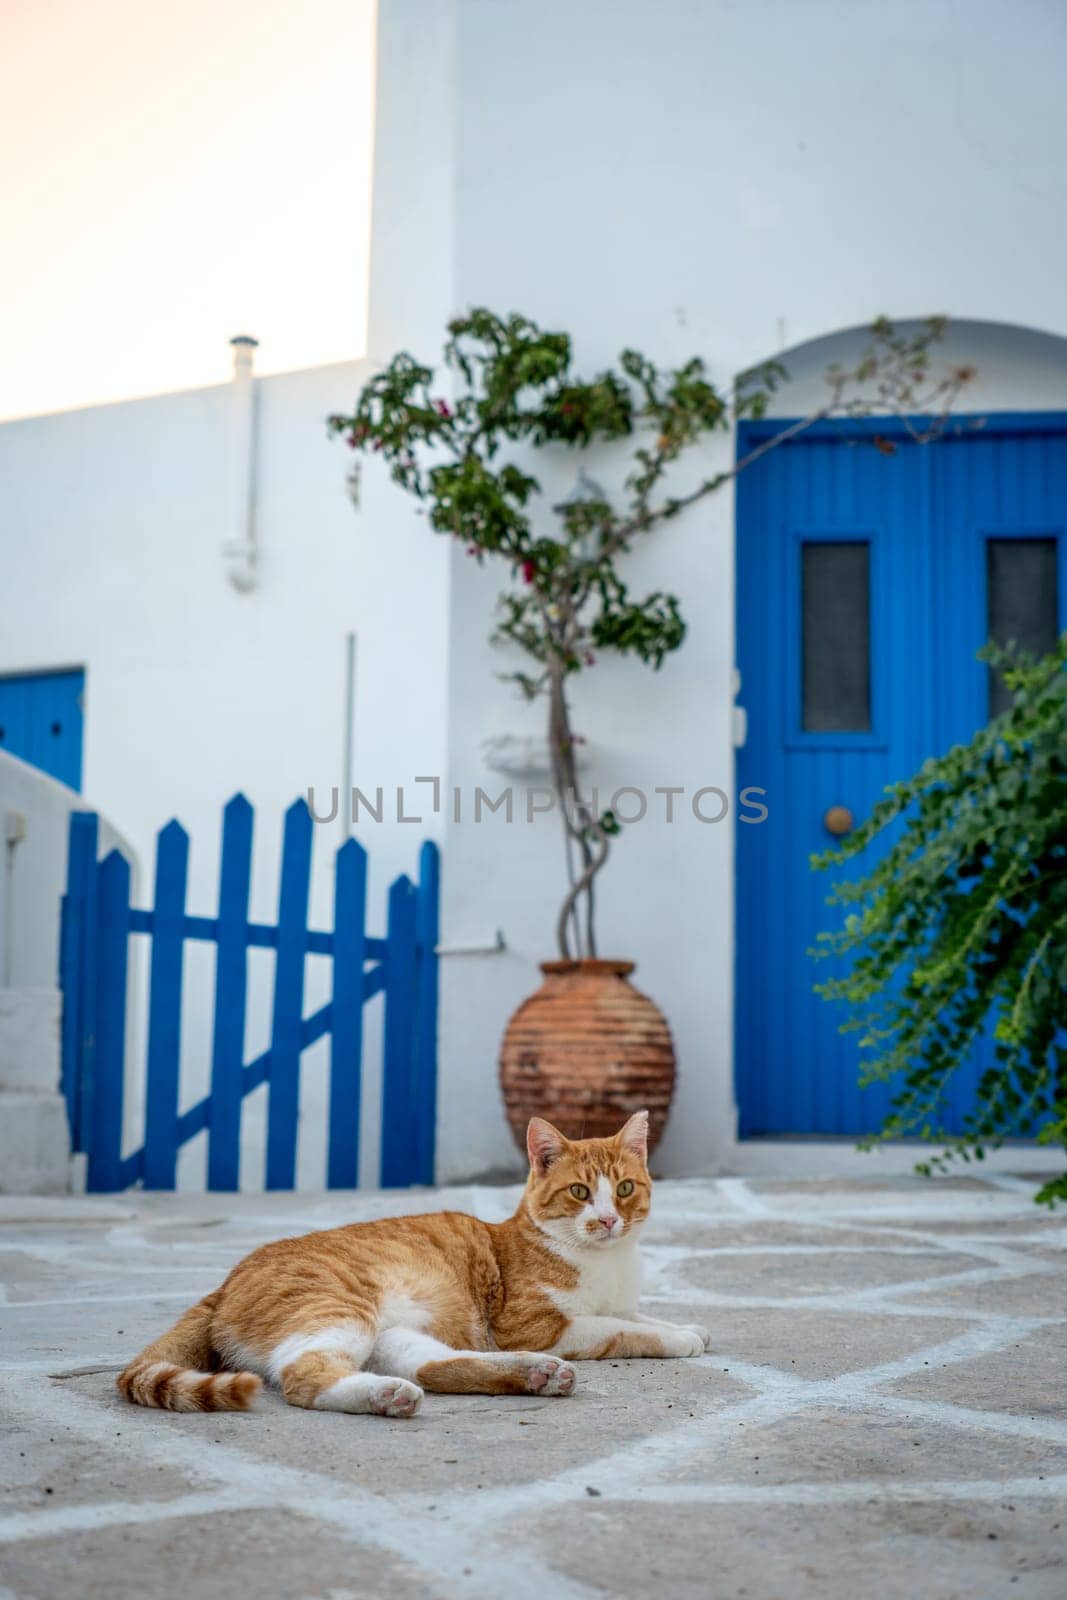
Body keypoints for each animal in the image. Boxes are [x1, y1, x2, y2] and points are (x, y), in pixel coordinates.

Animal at [119, 1113, 710, 1414]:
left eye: (625, 1189)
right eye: (581, 1192)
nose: (609, 1220)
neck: (607, 1262)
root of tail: (226, 1279)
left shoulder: (608, 1304)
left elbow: (635, 1315)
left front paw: (688, 1326)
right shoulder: (535, 1325)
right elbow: (618, 1329)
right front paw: (677, 1338)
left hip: (394, 1335)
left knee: (433, 1366)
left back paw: (533, 1375)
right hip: (337, 1310)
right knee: (302, 1376)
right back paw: (382, 1396)